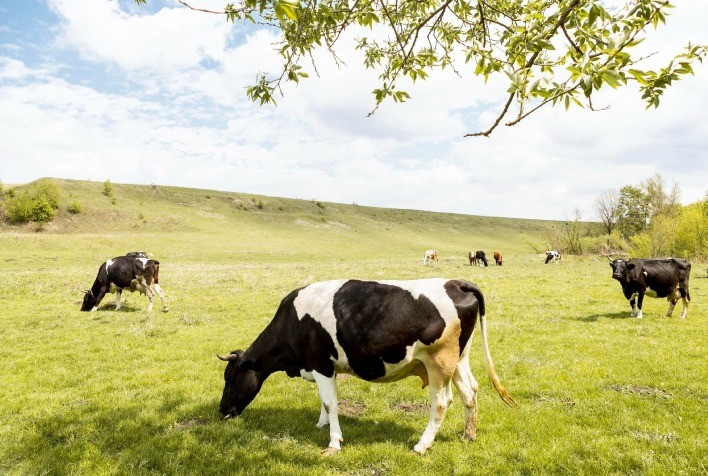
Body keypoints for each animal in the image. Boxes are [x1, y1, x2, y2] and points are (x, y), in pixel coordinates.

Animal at [216, 278, 516, 456]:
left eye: (230, 377)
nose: (221, 410)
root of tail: (456, 283)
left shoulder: (319, 363)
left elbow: (330, 402)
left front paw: (333, 442)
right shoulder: (323, 366)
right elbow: (323, 401)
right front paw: (321, 424)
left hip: (439, 362)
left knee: (442, 402)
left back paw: (422, 445)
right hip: (459, 360)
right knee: (470, 392)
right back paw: (468, 436)